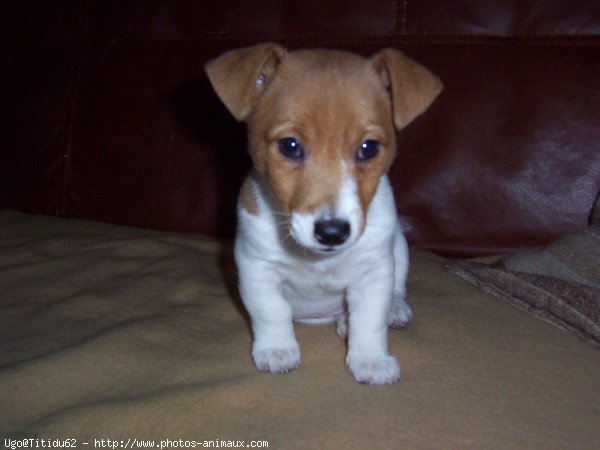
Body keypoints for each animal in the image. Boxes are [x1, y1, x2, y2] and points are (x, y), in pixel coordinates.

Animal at [205, 44, 440, 384]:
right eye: (290, 146)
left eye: (369, 148)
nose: (332, 232)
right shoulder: (257, 267)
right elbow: (271, 310)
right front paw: (277, 348)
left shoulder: (374, 272)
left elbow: (370, 320)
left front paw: (370, 359)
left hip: (399, 245)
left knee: (395, 290)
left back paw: (385, 312)